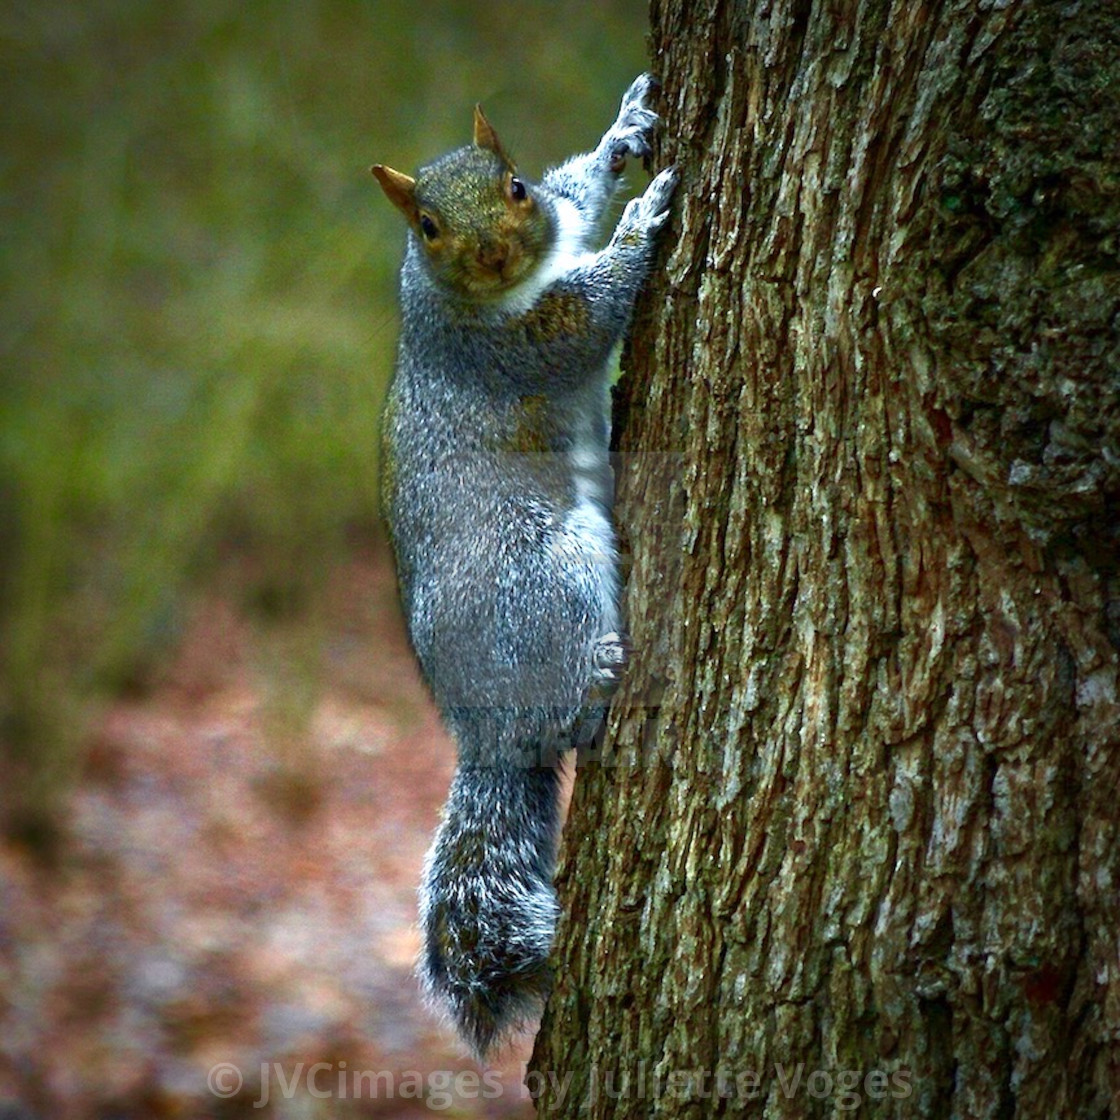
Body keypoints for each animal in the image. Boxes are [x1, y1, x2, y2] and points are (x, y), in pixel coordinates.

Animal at [371, 72, 676, 1057]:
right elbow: (589, 312)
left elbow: (576, 192)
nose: (499, 253)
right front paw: (644, 225)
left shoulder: (557, 222)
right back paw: (597, 677)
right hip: (542, 568)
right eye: (428, 226)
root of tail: (483, 730)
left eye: (510, 186)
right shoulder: (519, 339)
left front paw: (624, 141)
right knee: (564, 715)